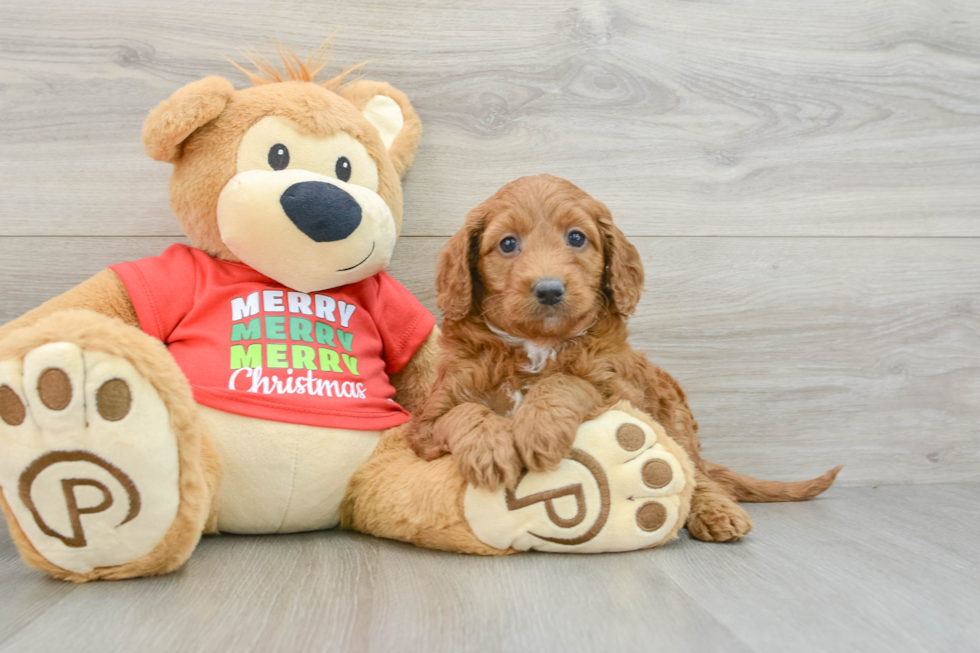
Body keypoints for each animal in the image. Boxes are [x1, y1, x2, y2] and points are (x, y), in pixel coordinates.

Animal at [410, 173, 840, 540]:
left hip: (674, 419)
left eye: (577, 238)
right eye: (508, 244)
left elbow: (567, 381)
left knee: (696, 474)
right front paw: (490, 448)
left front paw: (539, 428)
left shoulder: (619, 392)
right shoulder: (426, 422)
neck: (536, 345)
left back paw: (717, 512)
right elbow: (463, 412)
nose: (549, 289)